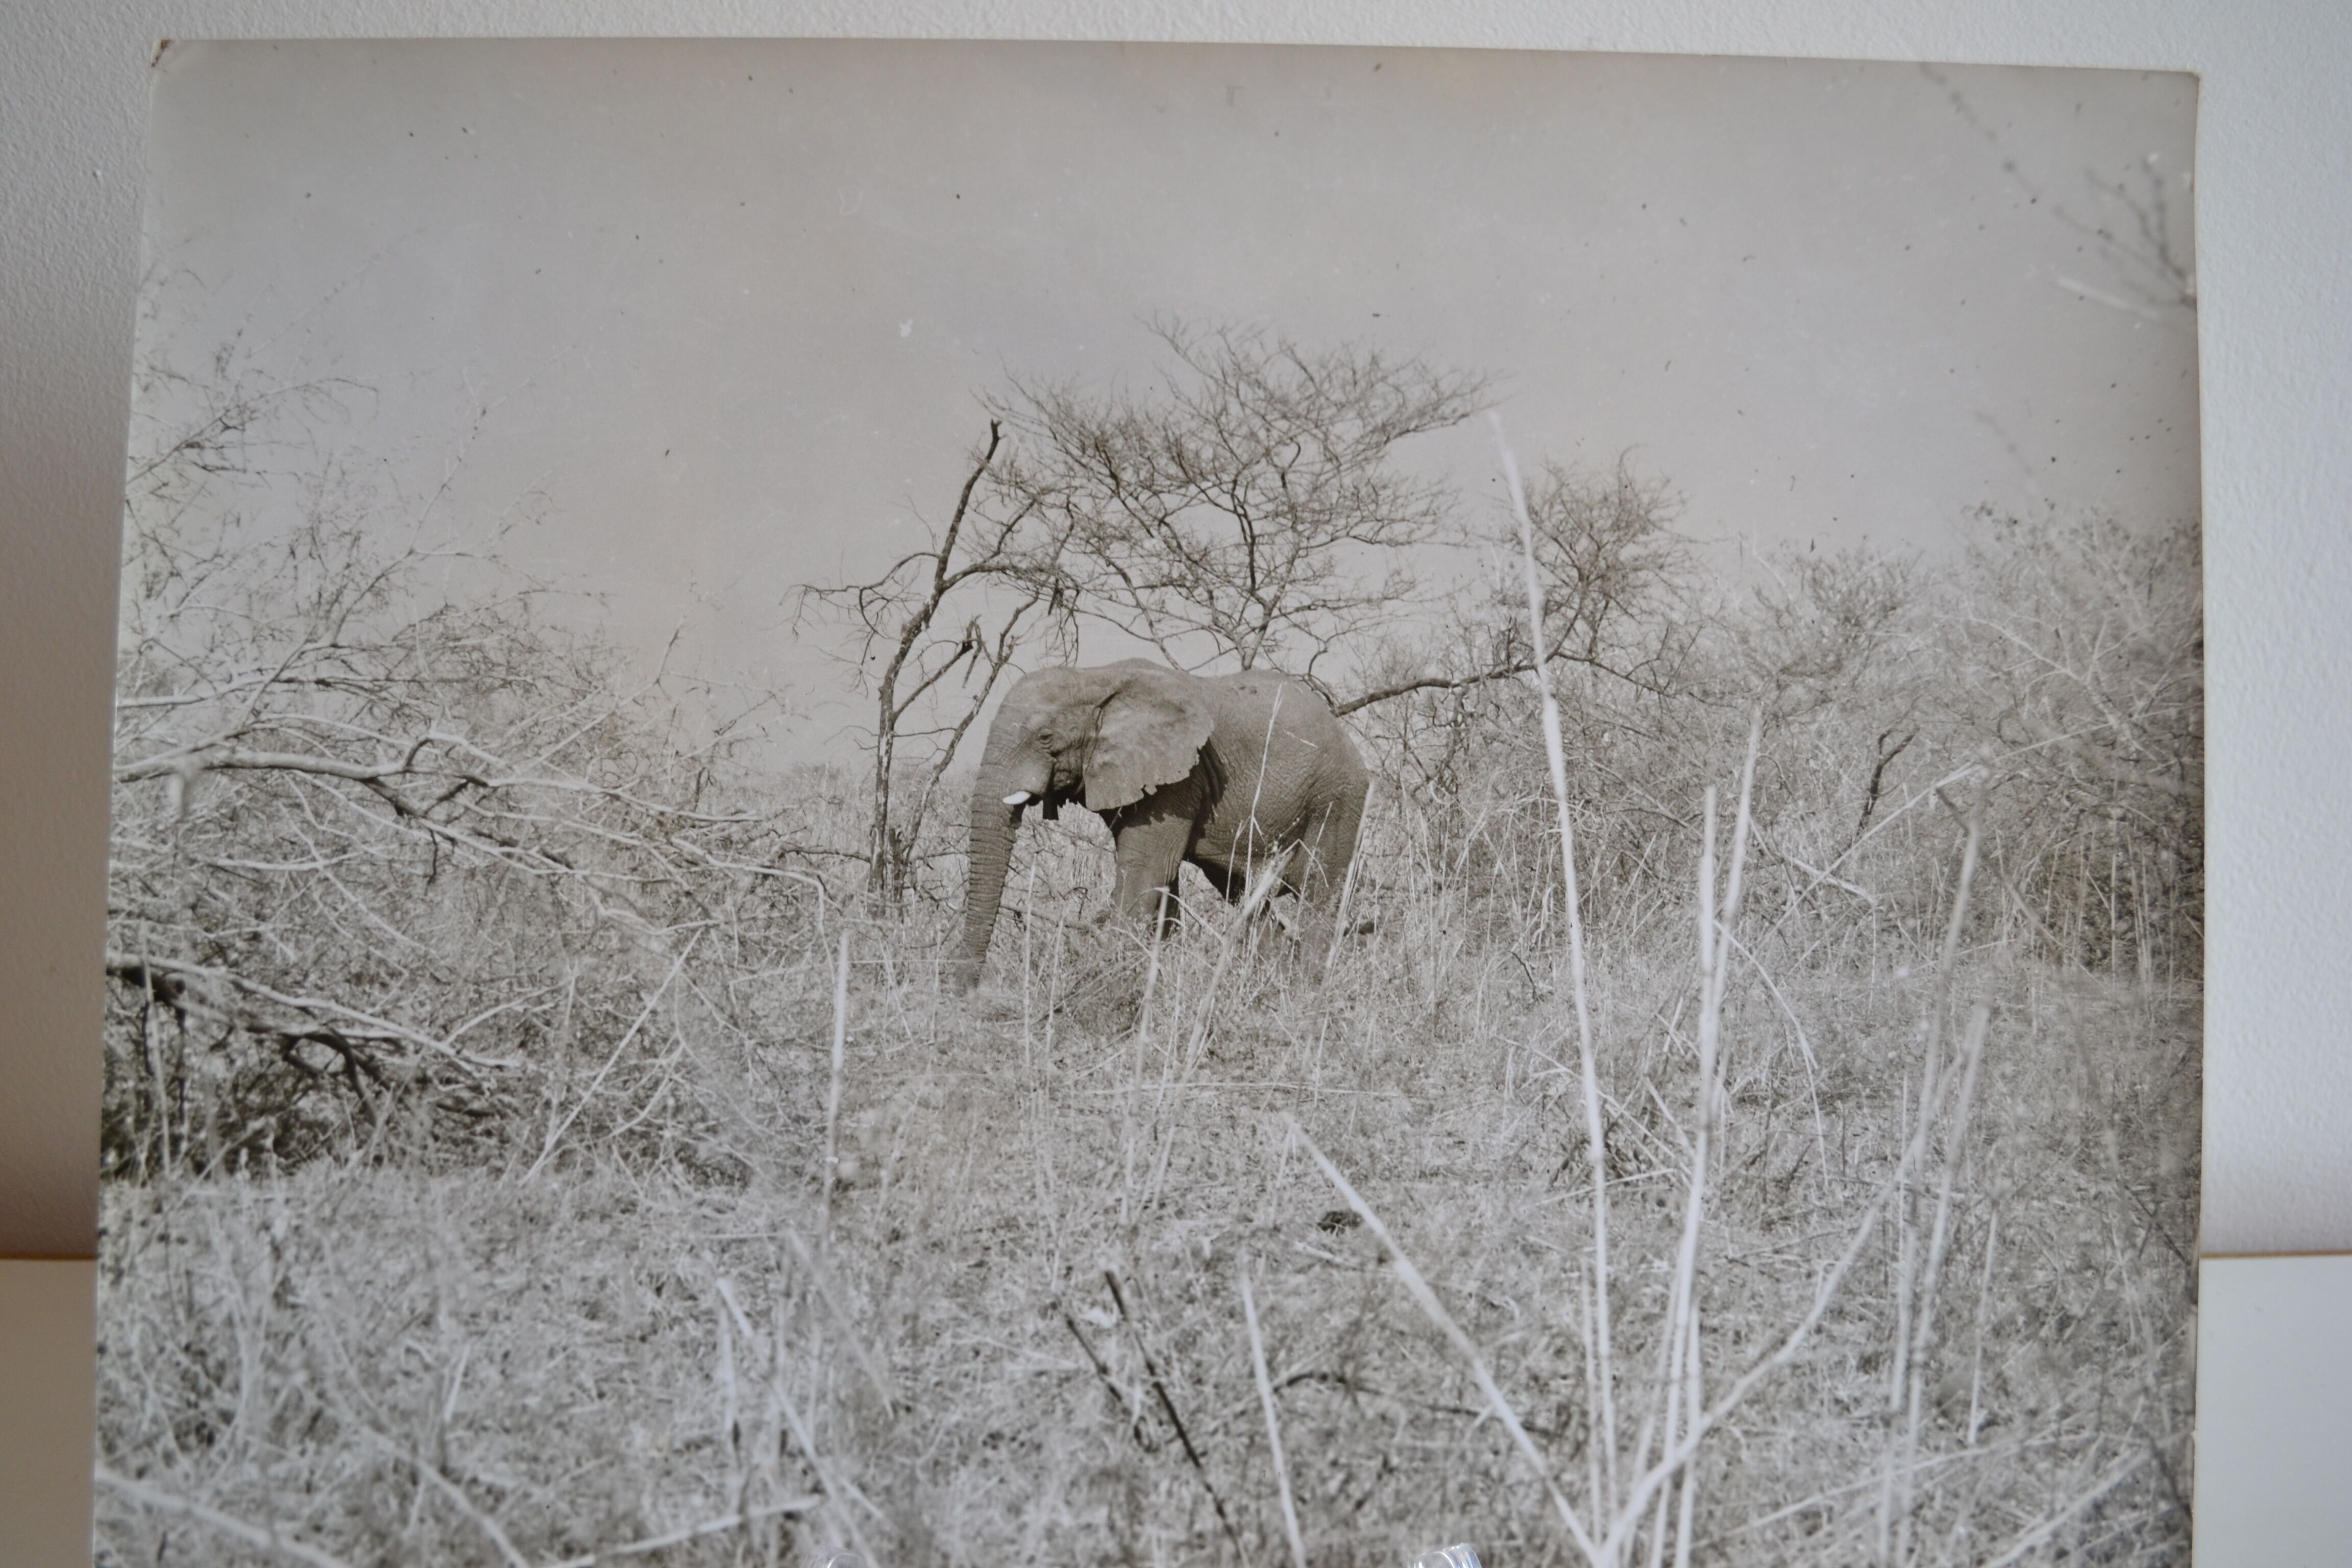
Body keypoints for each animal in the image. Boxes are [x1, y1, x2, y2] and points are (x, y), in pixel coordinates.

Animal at [949, 660, 1369, 991]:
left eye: (1045, 737)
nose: (965, 995)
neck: (1095, 678)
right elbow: (1161, 881)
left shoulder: (1180, 780)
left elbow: (1145, 871)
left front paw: (1106, 982)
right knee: (1245, 894)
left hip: (1337, 800)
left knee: (1320, 893)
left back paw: (1307, 990)